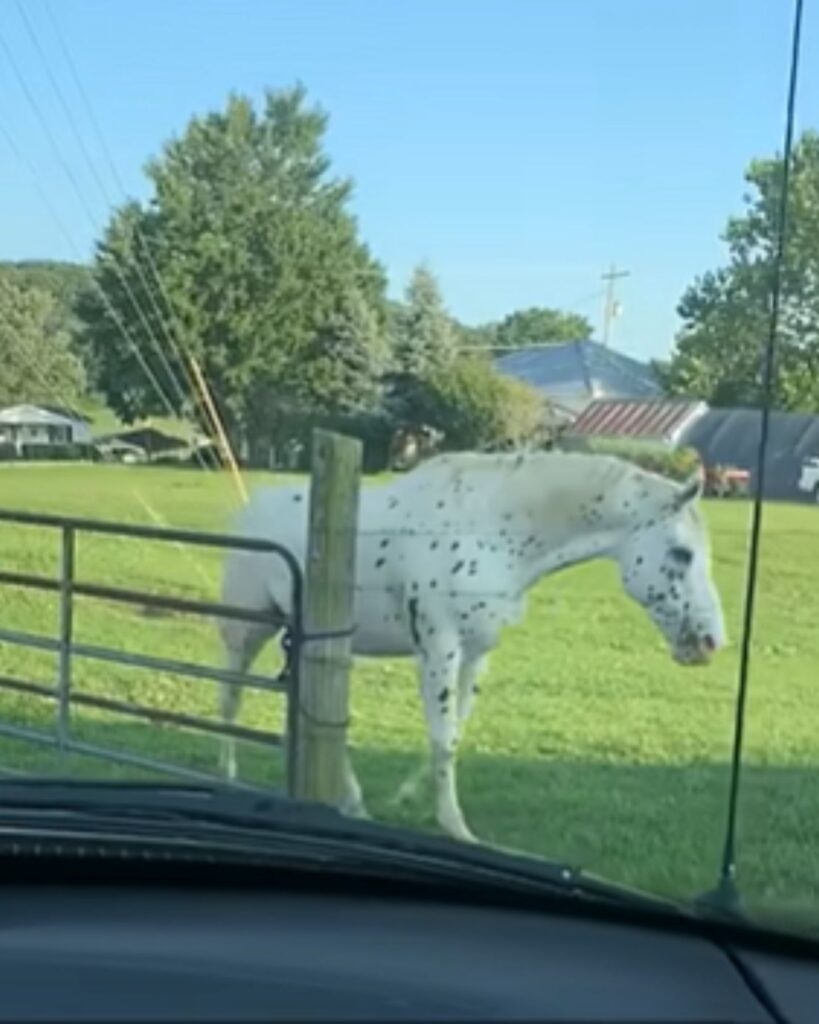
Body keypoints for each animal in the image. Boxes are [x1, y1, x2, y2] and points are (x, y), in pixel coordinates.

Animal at [216, 452, 724, 843]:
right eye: (682, 553)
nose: (711, 641)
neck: (491, 529)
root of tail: (250, 508)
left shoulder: (477, 654)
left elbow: (453, 733)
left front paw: (411, 798)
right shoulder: (441, 649)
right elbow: (443, 737)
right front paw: (455, 827)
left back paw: (349, 802)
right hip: (246, 631)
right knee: (230, 697)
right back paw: (229, 777)